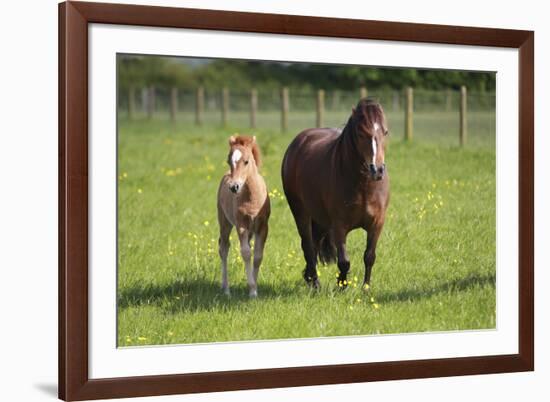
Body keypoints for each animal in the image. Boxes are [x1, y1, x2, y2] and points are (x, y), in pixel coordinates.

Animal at [217, 137, 270, 296]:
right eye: (228, 160)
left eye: (246, 161)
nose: (234, 187)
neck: (252, 198)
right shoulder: (241, 225)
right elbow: (246, 253)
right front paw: (252, 290)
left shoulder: (263, 227)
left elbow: (258, 256)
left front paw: (255, 286)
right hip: (225, 222)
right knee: (223, 248)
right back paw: (226, 289)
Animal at [282, 99, 390, 288]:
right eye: (361, 133)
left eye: (385, 132)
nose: (377, 170)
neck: (364, 185)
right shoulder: (339, 226)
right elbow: (344, 261)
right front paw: (341, 286)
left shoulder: (377, 223)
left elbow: (369, 256)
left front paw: (365, 288)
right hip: (301, 212)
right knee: (308, 246)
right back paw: (315, 283)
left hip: (320, 219)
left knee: (314, 244)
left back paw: (309, 277)